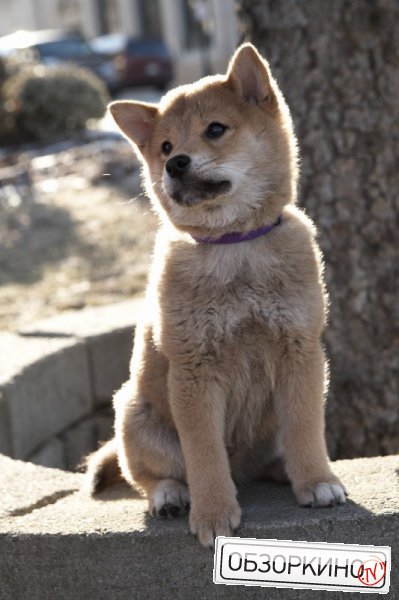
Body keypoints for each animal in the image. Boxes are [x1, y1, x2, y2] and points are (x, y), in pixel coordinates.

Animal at [86, 42, 346, 548]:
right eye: (166, 146)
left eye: (215, 130)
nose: (175, 164)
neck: (235, 246)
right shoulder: (194, 368)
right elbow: (204, 454)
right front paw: (213, 514)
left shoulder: (300, 350)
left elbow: (305, 427)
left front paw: (316, 481)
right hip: (132, 414)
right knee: (150, 475)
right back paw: (171, 496)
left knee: (270, 456)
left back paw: (283, 471)